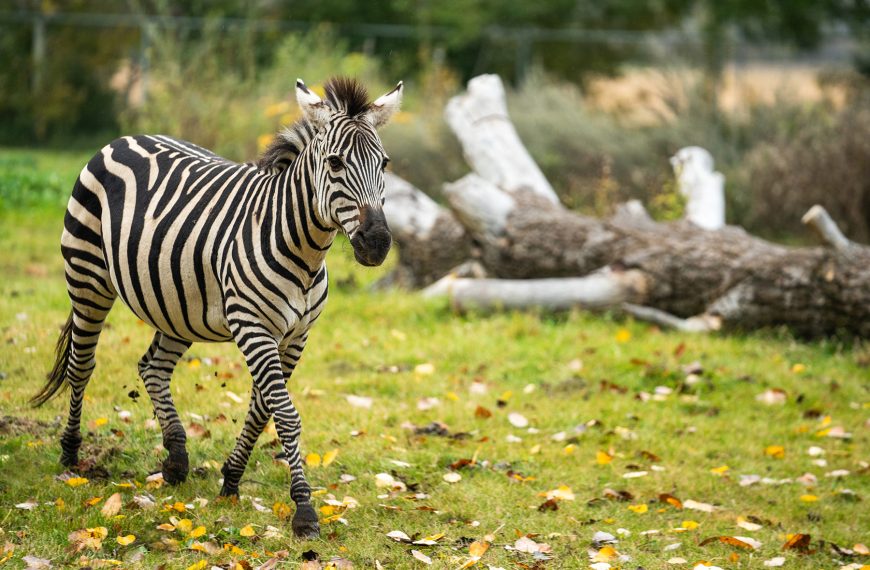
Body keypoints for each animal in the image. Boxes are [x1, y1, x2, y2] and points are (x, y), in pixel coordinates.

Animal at [31, 76, 406, 536]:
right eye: (335, 163)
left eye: (384, 164)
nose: (378, 244)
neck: (305, 251)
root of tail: (125, 138)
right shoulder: (252, 326)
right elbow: (285, 414)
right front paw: (304, 510)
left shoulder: (296, 336)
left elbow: (262, 410)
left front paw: (231, 480)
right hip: (88, 278)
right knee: (80, 365)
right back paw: (70, 456)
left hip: (177, 306)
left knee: (152, 367)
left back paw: (176, 459)